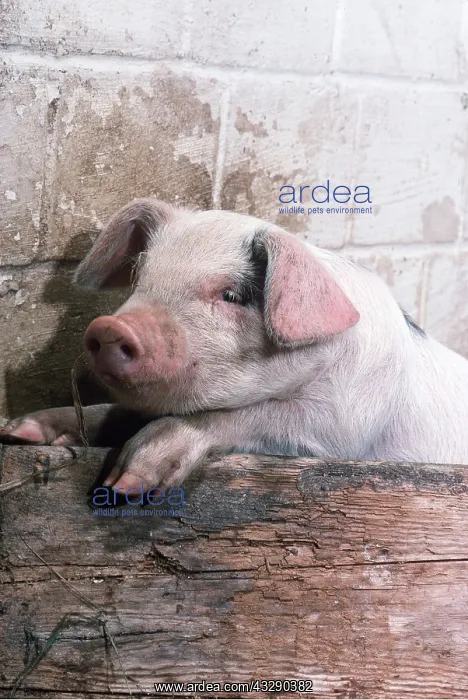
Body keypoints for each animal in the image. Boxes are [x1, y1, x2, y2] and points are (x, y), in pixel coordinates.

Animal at [2, 198, 468, 493]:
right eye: (140, 277)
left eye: (232, 295)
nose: (111, 327)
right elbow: (112, 411)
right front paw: (19, 431)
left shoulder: (344, 426)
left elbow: (245, 417)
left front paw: (126, 484)